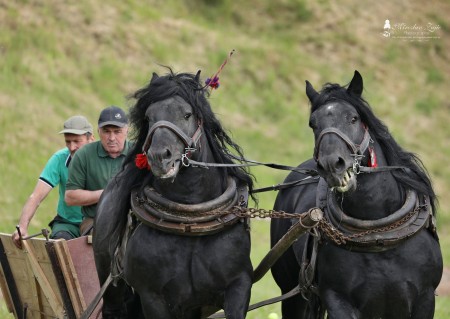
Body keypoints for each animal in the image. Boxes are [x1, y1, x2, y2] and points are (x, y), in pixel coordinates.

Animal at [93, 70, 255, 319]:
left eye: (187, 114)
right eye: (149, 117)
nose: (159, 156)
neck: (189, 222)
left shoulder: (239, 285)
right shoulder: (152, 297)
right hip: (111, 286)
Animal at [270, 72, 442, 319]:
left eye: (353, 118)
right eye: (313, 124)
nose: (331, 165)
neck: (377, 234)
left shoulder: (424, 300)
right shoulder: (338, 301)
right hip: (291, 295)